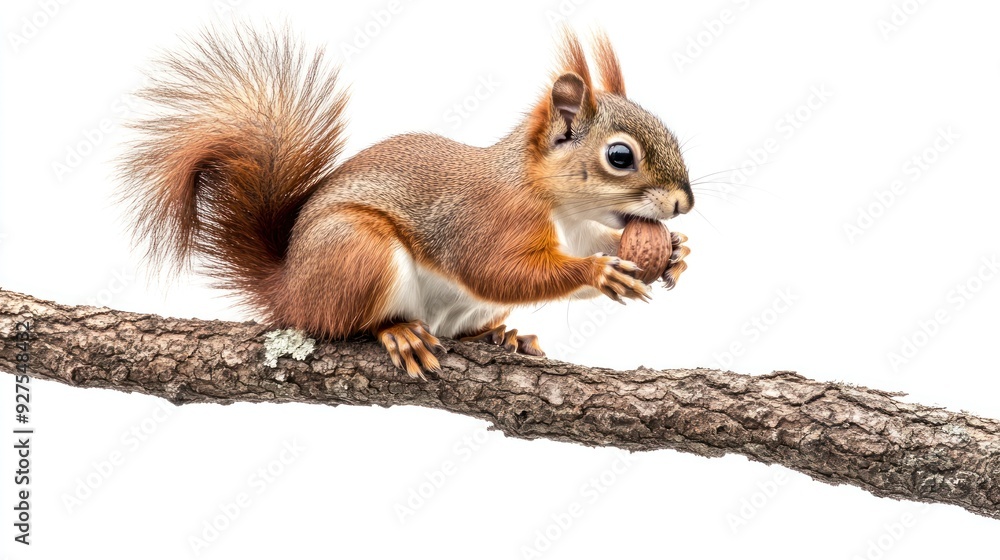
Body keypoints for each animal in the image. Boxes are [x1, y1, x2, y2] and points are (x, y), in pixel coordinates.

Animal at [120, 26, 693, 378]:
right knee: (343, 323)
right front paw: (600, 271)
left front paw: (677, 253)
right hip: (358, 252)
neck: (557, 205)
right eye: (620, 156)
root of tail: (289, 290)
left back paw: (501, 335)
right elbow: (499, 271)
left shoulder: (580, 230)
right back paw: (398, 334)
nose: (684, 204)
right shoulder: (489, 219)